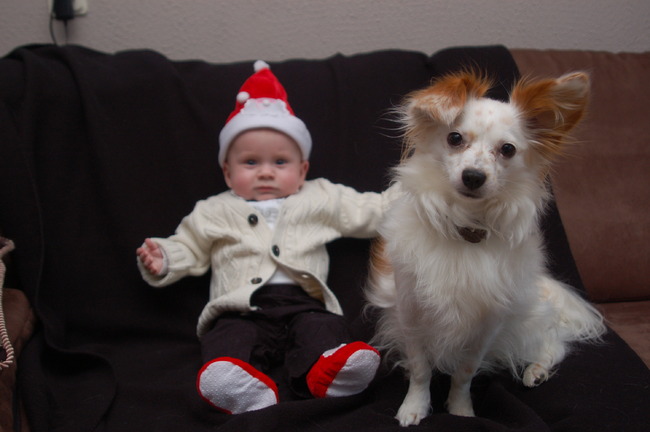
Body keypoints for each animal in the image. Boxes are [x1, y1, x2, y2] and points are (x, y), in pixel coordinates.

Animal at [366, 71, 606, 426]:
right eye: (454, 138)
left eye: (507, 149)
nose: (474, 176)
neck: (466, 230)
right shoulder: (411, 314)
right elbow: (421, 369)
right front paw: (415, 406)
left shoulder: (487, 326)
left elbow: (465, 373)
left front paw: (461, 410)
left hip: (525, 322)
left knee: (553, 341)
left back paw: (536, 371)